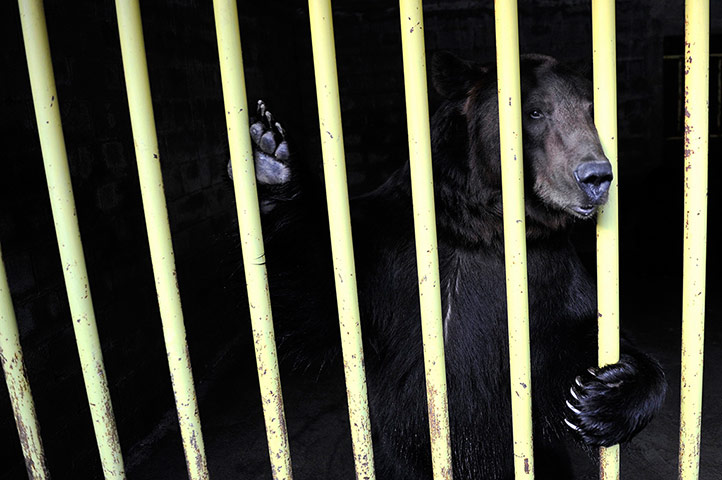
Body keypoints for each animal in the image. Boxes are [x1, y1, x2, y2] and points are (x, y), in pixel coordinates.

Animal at [231, 52, 667, 479]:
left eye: (592, 110)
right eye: (535, 111)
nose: (596, 177)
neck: (481, 225)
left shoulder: (547, 272)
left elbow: (574, 338)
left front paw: (605, 396)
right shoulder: (389, 255)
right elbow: (313, 305)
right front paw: (271, 158)